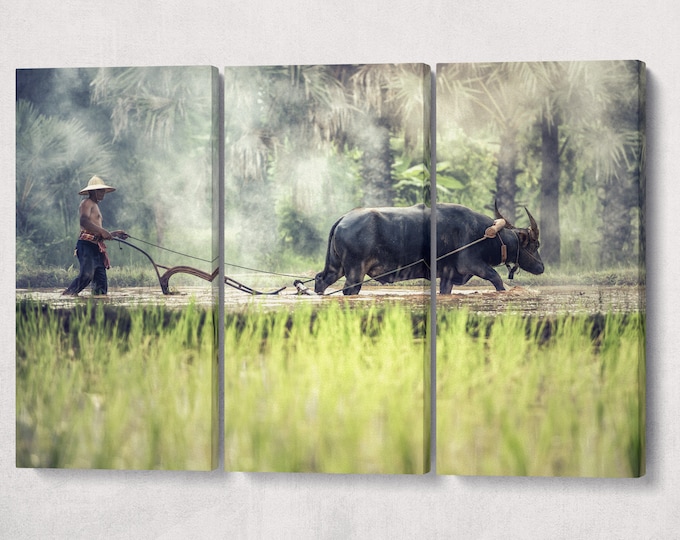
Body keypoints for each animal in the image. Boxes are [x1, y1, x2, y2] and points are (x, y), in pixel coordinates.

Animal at [316, 202, 544, 296]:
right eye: (535, 244)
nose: (541, 267)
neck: (486, 234)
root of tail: (343, 219)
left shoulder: (448, 275)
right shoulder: (473, 264)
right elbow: (497, 280)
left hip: (336, 267)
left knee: (321, 280)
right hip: (355, 271)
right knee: (349, 290)